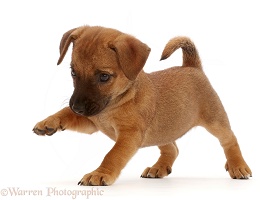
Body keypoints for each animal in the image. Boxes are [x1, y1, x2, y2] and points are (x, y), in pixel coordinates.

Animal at [32, 25, 250, 186]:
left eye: (104, 77)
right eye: (73, 73)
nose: (77, 108)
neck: (115, 104)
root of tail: (191, 66)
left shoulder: (129, 135)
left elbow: (112, 155)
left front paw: (100, 173)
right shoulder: (92, 122)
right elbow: (64, 113)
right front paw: (48, 123)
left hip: (215, 121)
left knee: (230, 140)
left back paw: (238, 166)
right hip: (162, 130)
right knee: (172, 148)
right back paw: (159, 168)